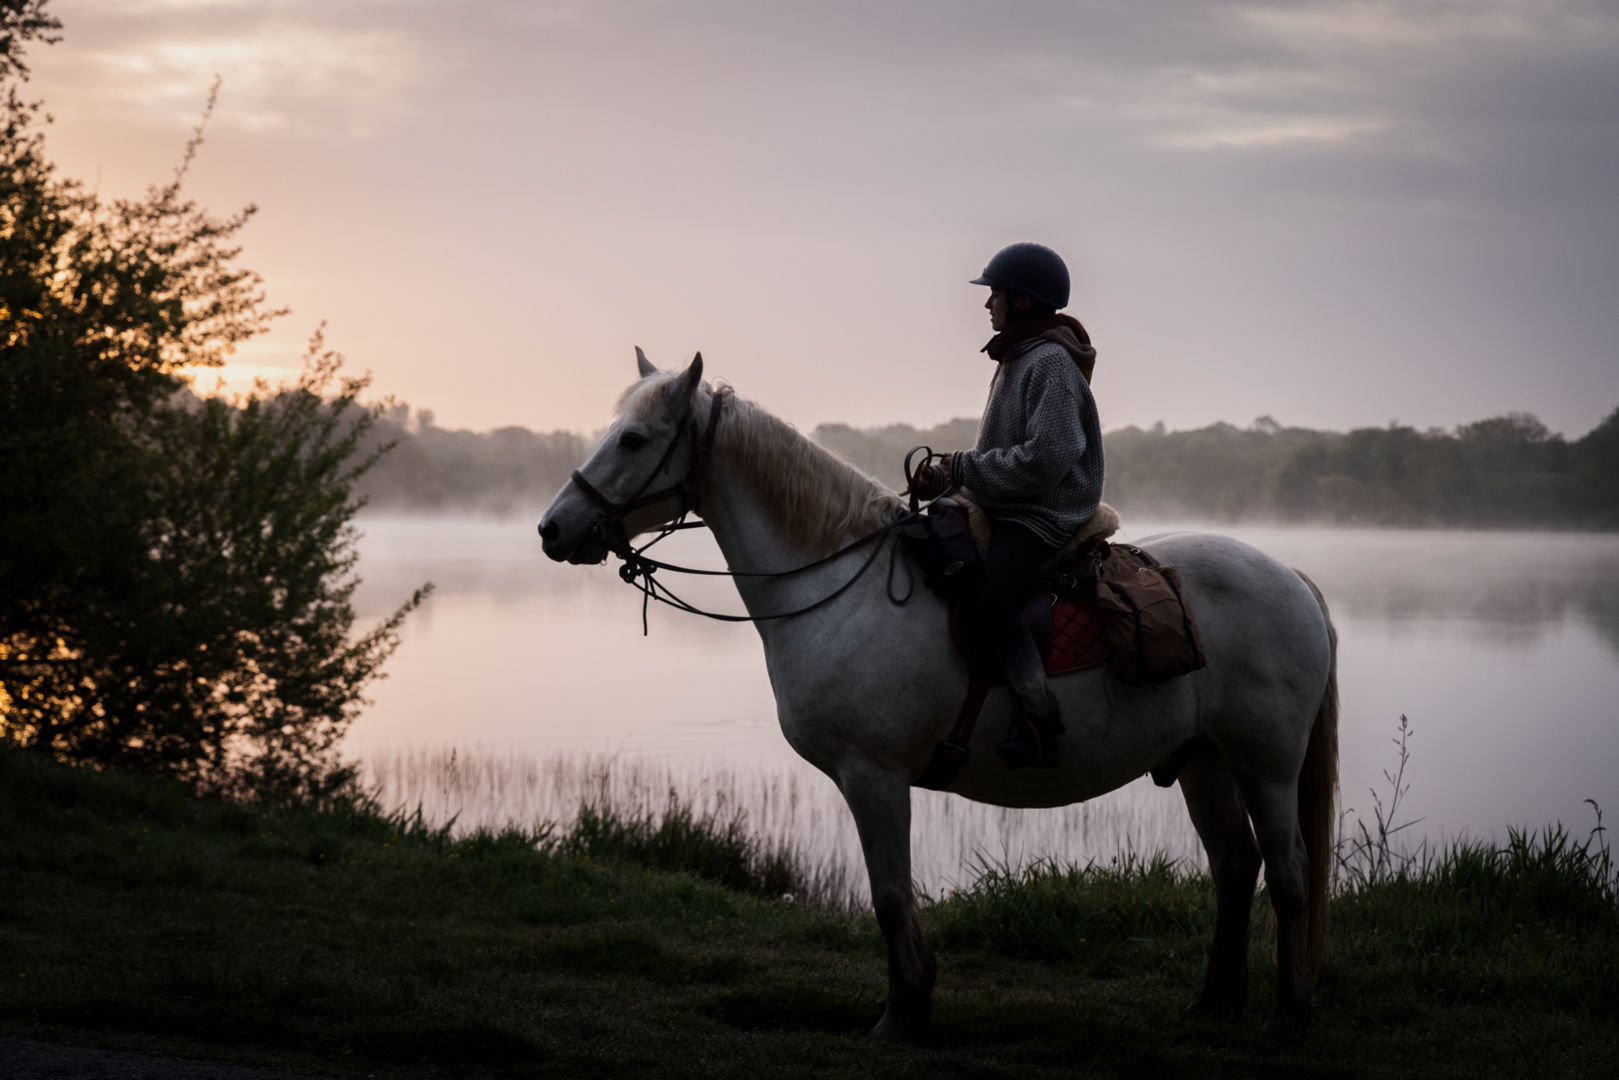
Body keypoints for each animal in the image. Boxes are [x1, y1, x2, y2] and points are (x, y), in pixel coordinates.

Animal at [543, 351, 1340, 1042]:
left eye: (634, 438)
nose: (553, 528)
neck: (842, 587)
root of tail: (1294, 579)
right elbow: (895, 897)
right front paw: (913, 1002)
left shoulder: (874, 776)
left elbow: (892, 897)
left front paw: (901, 1016)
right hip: (1205, 761)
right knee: (1235, 866)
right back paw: (1214, 1002)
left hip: (1266, 766)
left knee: (1289, 872)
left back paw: (1288, 1015)